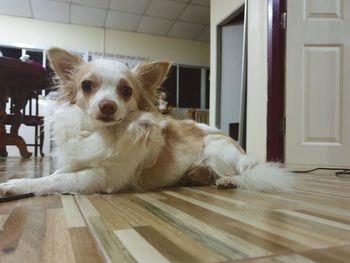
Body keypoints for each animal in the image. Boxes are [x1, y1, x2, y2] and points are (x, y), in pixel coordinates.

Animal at [0, 47, 292, 197]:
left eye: (126, 91)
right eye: (86, 85)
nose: (107, 106)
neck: (102, 132)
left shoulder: (104, 177)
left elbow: (58, 180)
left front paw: (18, 185)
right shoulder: (78, 162)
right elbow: (55, 174)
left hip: (217, 149)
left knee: (242, 172)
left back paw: (227, 180)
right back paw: (195, 177)